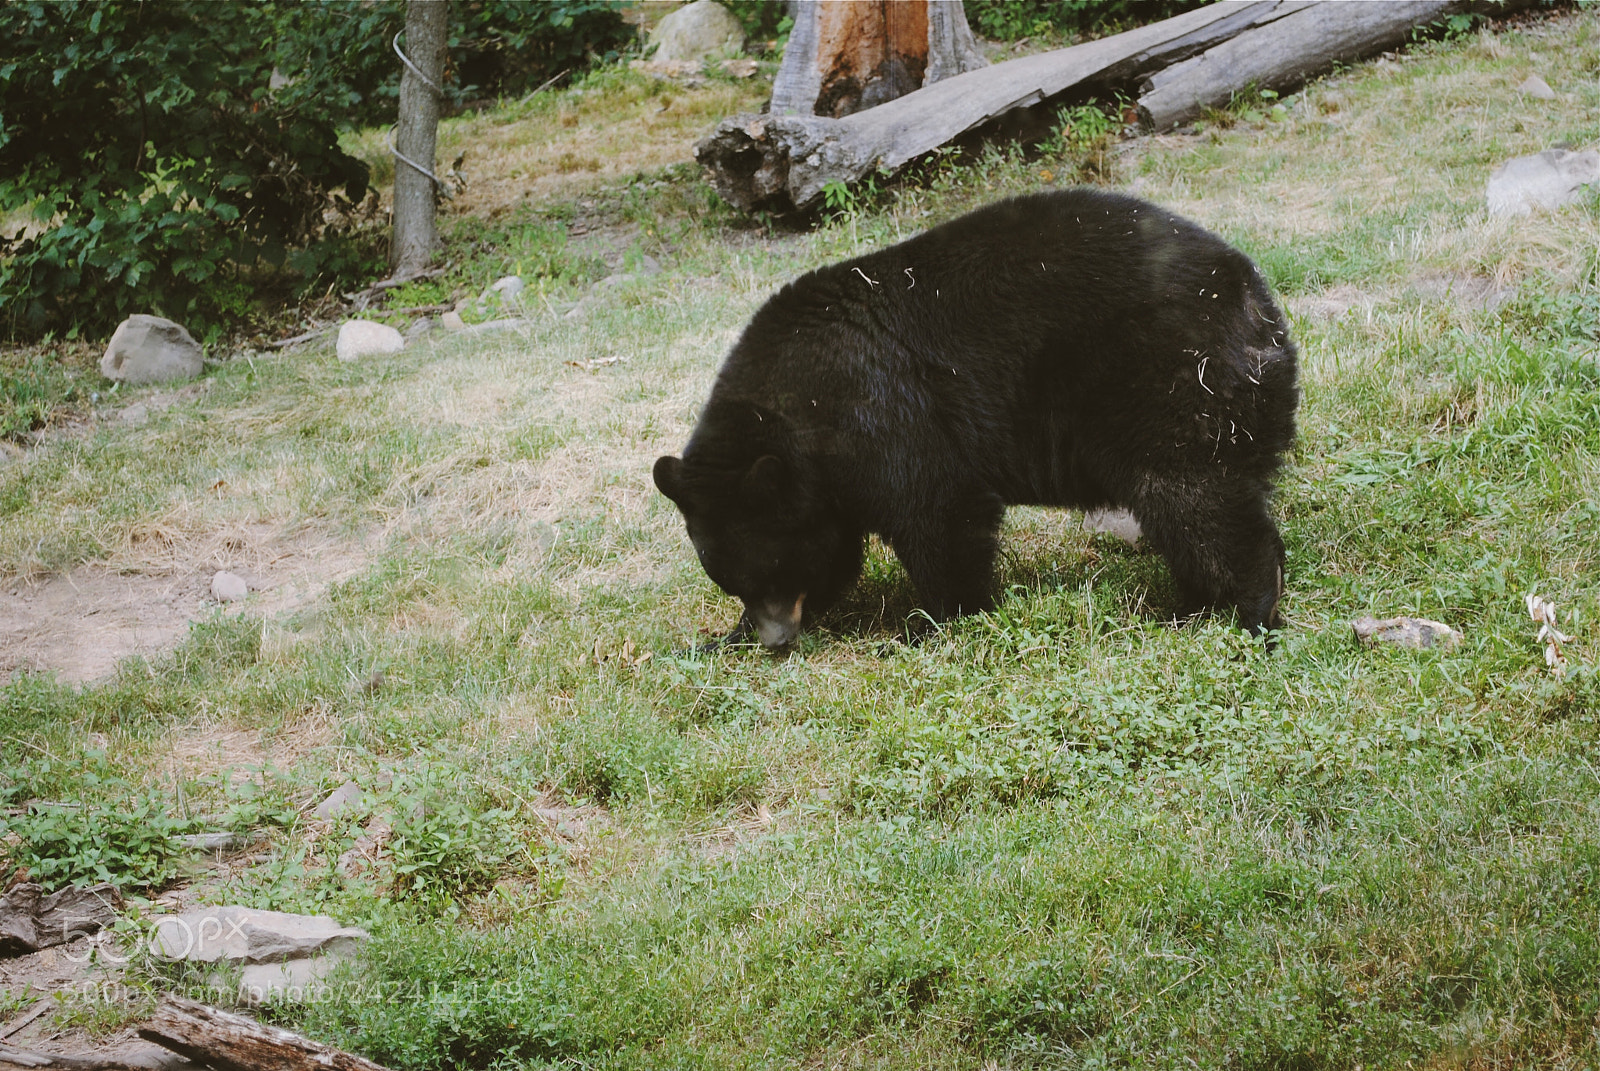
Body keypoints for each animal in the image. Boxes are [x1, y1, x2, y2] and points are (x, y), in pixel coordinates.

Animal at [653, 189, 1298, 650]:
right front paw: (722, 637)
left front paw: (926, 624)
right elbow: (840, 545)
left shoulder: (881, 415)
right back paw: (1189, 606)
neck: (797, 411)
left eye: (771, 569)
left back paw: (1249, 609)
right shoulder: (830, 482)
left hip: (1171, 386)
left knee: (1192, 499)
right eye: (733, 578)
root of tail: (1257, 302)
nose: (776, 640)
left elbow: (937, 509)